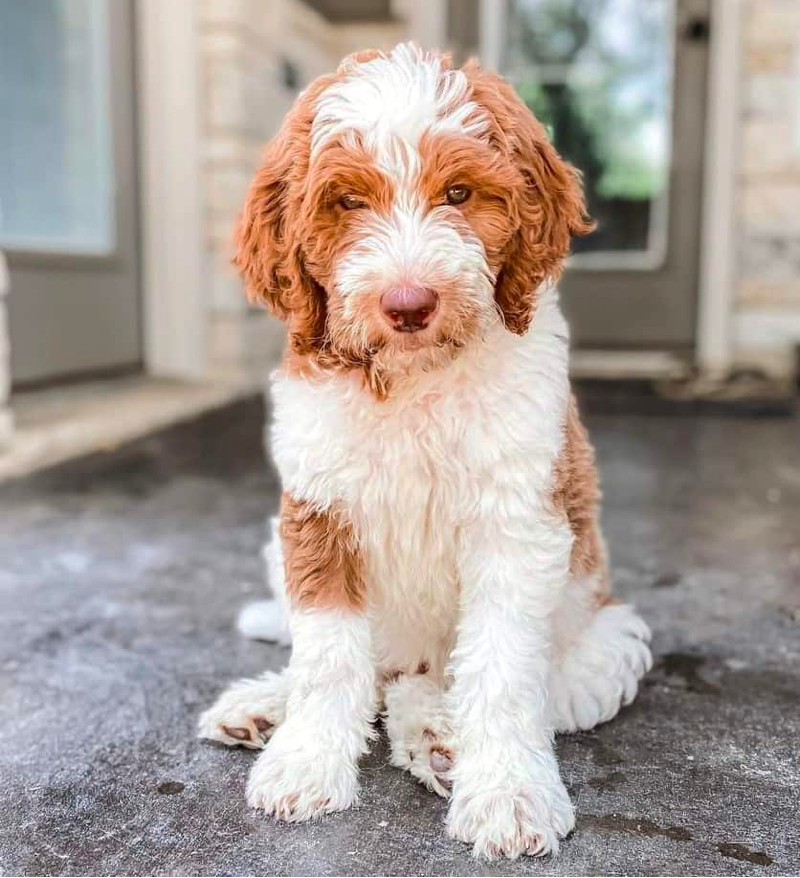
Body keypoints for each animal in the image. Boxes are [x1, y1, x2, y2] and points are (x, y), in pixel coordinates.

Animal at [198, 44, 648, 864]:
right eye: (347, 202)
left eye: (459, 193)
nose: (408, 305)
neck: (412, 380)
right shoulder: (318, 509)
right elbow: (327, 653)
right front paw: (306, 761)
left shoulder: (515, 522)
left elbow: (500, 667)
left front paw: (508, 794)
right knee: (370, 671)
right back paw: (269, 706)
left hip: (604, 628)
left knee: (448, 682)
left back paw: (438, 737)